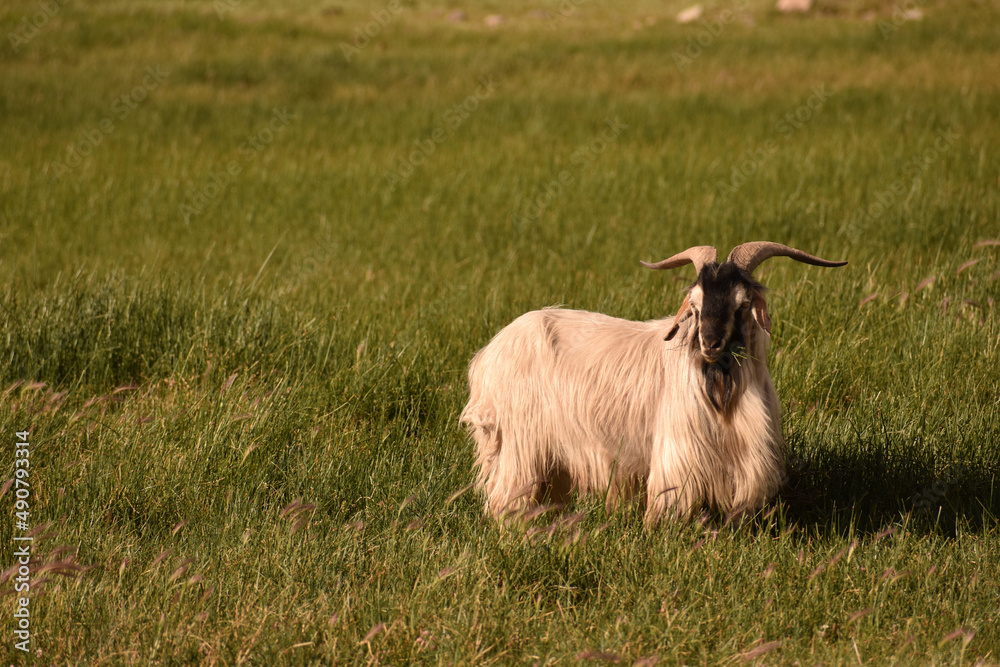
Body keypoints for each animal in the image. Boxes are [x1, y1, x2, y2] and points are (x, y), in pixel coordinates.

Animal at [458, 243, 844, 524]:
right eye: (695, 305)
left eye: (743, 304)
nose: (709, 343)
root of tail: (488, 356)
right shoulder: (679, 453)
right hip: (518, 445)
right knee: (505, 499)